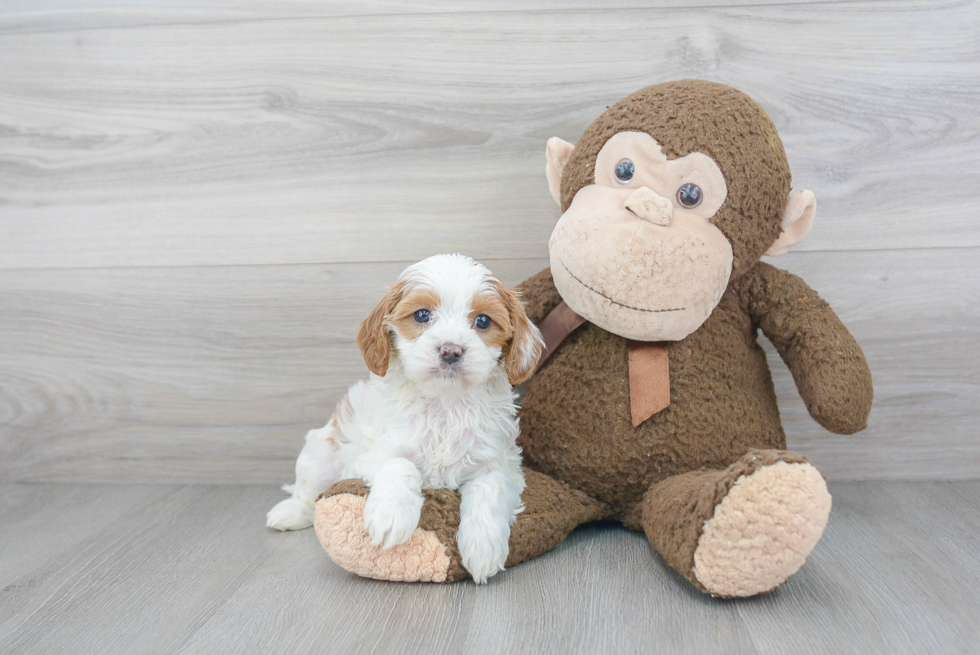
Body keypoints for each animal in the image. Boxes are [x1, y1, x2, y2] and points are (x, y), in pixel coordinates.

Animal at [268, 255, 544, 584]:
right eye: (422, 315)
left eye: (483, 321)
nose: (451, 350)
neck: (444, 404)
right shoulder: (371, 456)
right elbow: (401, 465)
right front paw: (391, 515)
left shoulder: (500, 465)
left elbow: (489, 491)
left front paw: (483, 547)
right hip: (320, 455)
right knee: (307, 493)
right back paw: (288, 513)